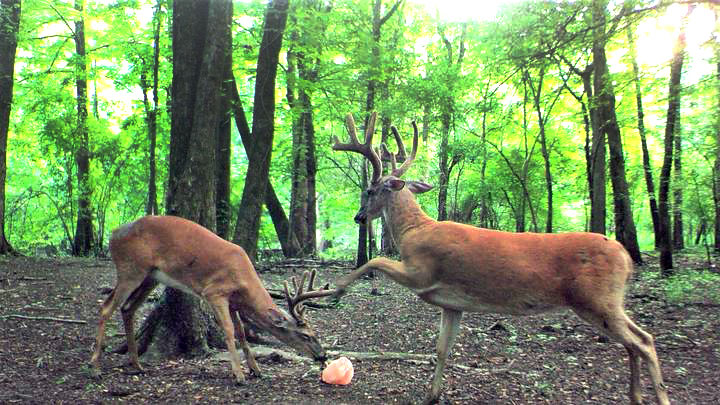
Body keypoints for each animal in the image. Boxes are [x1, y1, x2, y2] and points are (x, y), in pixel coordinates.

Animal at [90, 215, 334, 382]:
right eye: (305, 335)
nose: (322, 356)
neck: (243, 282)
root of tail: (113, 235)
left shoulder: (234, 302)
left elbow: (242, 334)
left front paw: (256, 369)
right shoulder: (215, 292)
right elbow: (228, 330)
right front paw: (239, 375)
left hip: (150, 277)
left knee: (127, 309)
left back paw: (137, 364)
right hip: (131, 269)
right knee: (106, 307)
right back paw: (95, 367)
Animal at [332, 111, 668, 404]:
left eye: (370, 190)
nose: (358, 217)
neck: (414, 231)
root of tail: (626, 257)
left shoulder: (420, 272)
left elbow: (375, 261)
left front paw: (337, 288)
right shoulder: (452, 304)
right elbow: (442, 349)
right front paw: (432, 396)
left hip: (594, 299)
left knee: (644, 342)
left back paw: (659, 396)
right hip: (608, 302)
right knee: (637, 341)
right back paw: (636, 395)